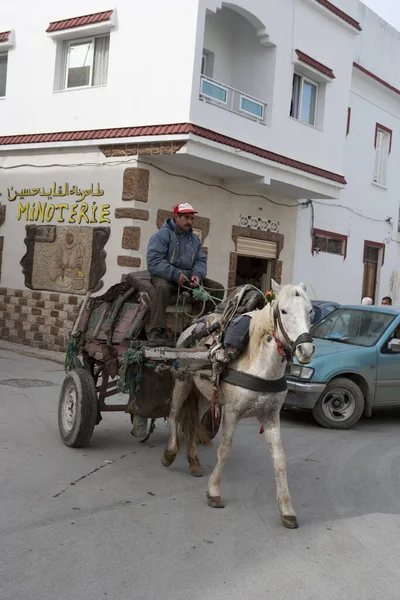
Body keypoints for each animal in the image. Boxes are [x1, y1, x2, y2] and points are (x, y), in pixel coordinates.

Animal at [160, 278, 316, 528]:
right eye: (283, 311)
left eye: (310, 311)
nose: (306, 349)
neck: (260, 365)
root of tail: (192, 328)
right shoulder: (232, 413)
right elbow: (224, 451)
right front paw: (214, 492)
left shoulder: (271, 416)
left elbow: (280, 459)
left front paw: (286, 509)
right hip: (183, 380)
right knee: (175, 413)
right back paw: (170, 453)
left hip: (206, 396)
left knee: (194, 423)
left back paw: (194, 461)